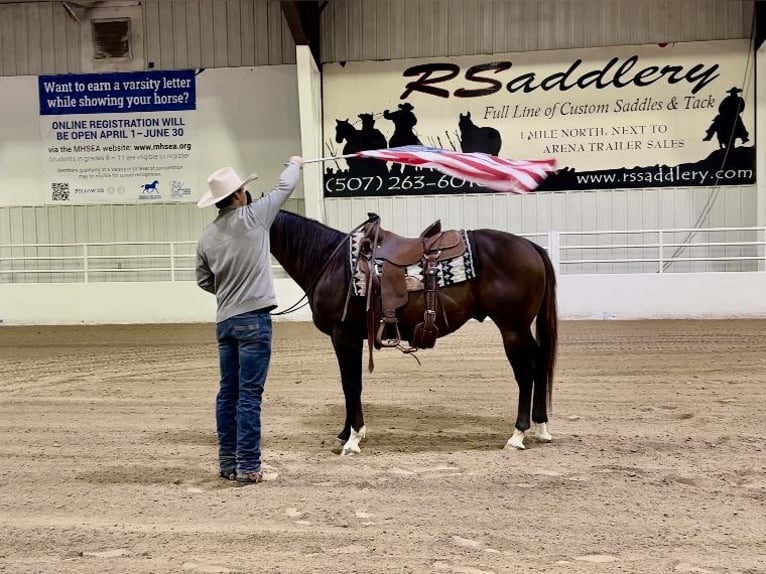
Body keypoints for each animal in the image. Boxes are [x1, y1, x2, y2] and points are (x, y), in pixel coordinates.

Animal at [270, 212, 560, 460]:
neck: (330, 263)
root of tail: (530, 246)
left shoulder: (344, 335)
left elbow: (351, 385)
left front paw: (353, 439)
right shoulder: (348, 338)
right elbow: (349, 384)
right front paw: (345, 434)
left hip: (513, 328)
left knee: (525, 373)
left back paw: (518, 435)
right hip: (521, 329)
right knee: (540, 363)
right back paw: (541, 427)